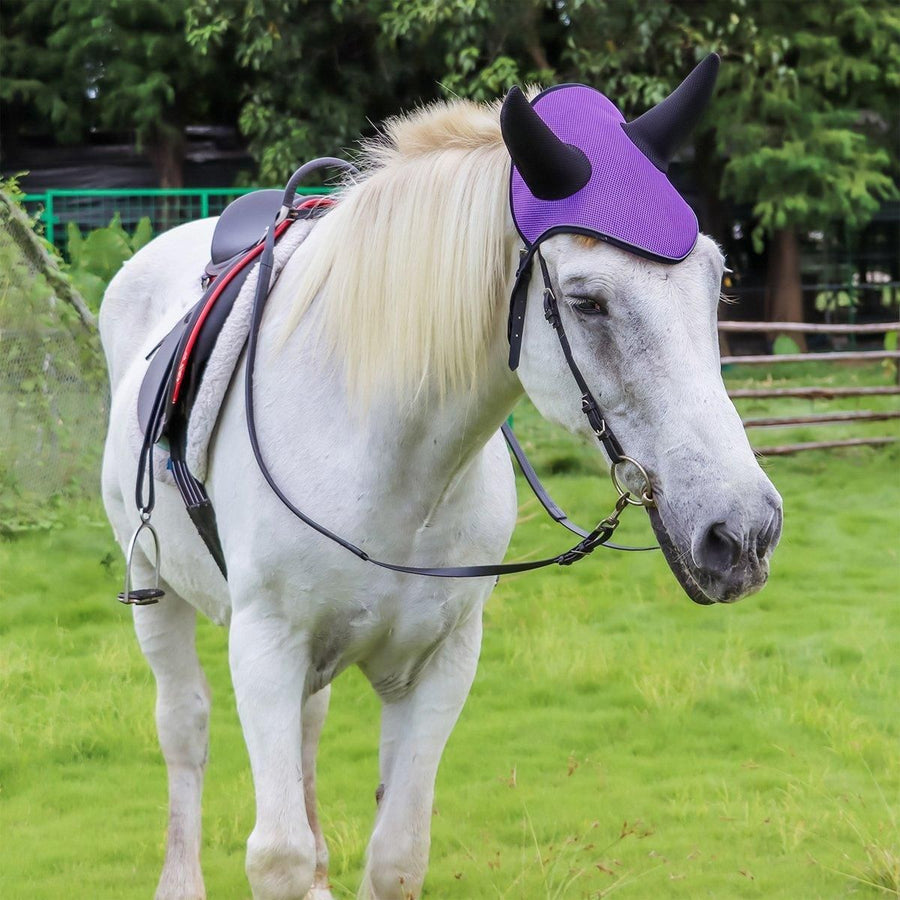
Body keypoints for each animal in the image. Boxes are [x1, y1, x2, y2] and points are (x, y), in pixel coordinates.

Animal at [99, 57, 782, 900]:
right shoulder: (265, 647)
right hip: (153, 587)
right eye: (588, 301)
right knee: (184, 729)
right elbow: (277, 854)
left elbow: (397, 855)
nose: (743, 531)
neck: (388, 463)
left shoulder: (441, 663)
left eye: (719, 282)